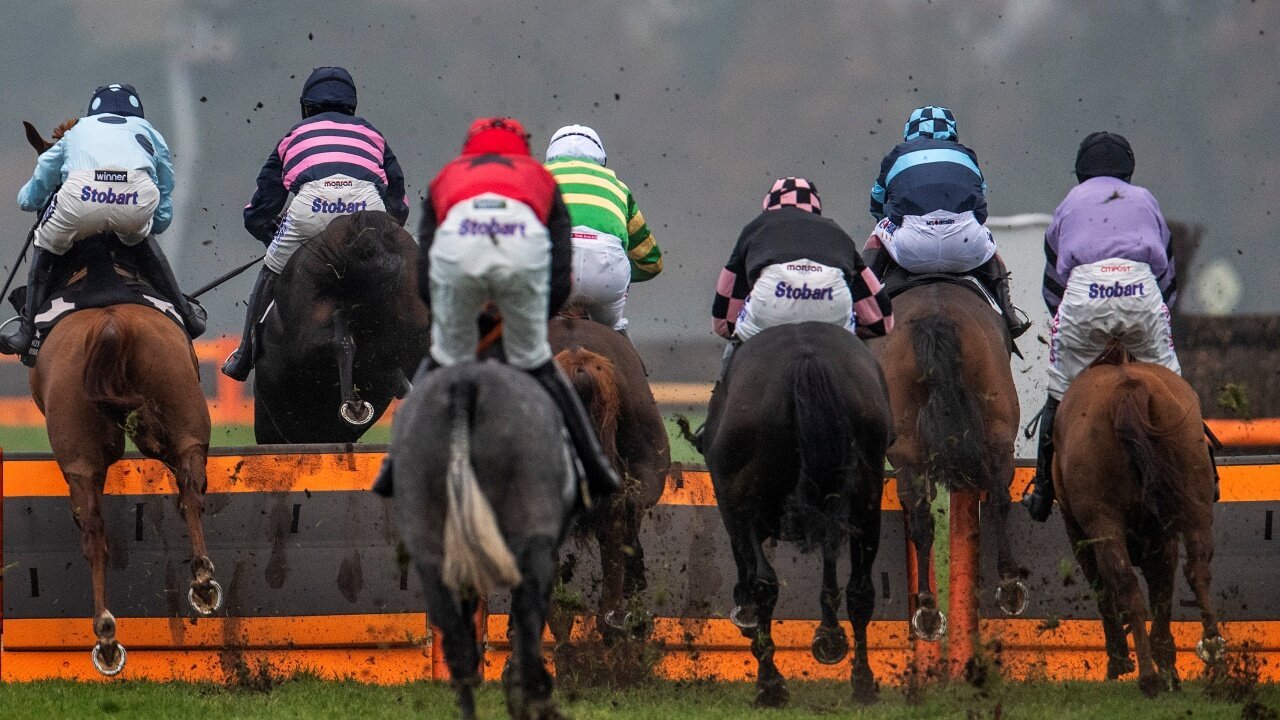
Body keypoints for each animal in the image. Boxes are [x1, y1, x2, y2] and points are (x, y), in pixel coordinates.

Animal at [702, 322, 893, 707]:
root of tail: (806, 358)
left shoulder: (738, 515)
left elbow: (752, 578)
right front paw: (829, 635)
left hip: (740, 505)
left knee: (763, 582)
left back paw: (769, 685)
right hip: (866, 500)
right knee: (860, 588)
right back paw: (862, 681)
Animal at [868, 282, 1028, 645]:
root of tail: (935, 318)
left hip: (910, 450)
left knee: (922, 519)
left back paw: (928, 610)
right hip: (997, 429)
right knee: (998, 498)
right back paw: (1008, 585)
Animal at [1055, 341, 1223, 696]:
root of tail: (1129, 388)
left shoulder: (1078, 533)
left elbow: (1104, 589)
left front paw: (1120, 659)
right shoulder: (1163, 536)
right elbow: (1162, 590)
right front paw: (1168, 663)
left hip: (1102, 522)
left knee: (1125, 585)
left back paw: (1148, 677)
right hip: (1195, 507)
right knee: (1197, 569)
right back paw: (1214, 654)